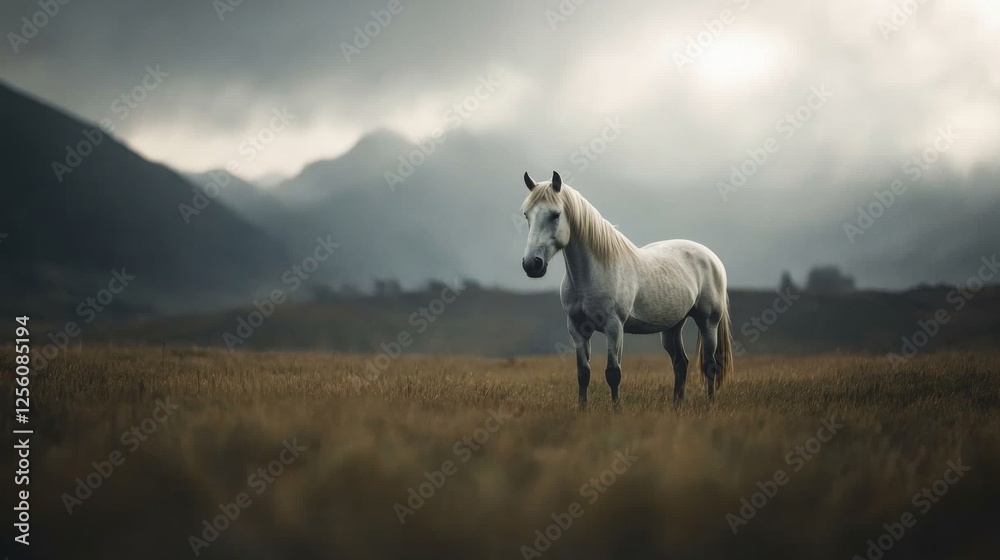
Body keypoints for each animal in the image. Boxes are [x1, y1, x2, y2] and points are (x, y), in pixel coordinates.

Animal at [519, 171, 733, 411]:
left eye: (555, 215)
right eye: (527, 215)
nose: (532, 264)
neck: (593, 272)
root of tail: (711, 257)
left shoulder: (614, 327)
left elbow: (613, 373)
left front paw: (616, 411)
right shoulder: (577, 329)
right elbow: (583, 374)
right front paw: (582, 411)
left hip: (708, 322)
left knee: (709, 364)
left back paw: (709, 404)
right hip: (672, 327)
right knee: (680, 363)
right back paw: (676, 406)